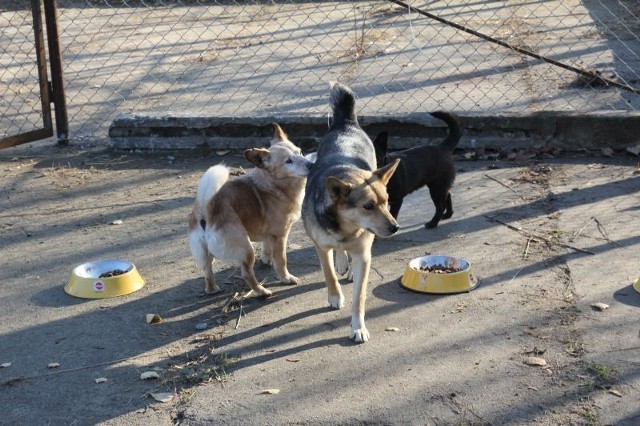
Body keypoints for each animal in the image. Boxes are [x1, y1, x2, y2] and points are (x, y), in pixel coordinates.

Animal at [188, 124, 312, 296]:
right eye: (288, 161)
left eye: (300, 152)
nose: (311, 164)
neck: (273, 184)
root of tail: (207, 208)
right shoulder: (280, 236)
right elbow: (281, 261)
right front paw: (286, 278)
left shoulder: (269, 235)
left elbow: (267, 248)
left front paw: (266, 260)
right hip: (247, 249)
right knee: (246, 273)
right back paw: (262, 292)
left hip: (206, 253)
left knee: (207, 270)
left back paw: (212, 289)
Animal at [302, 82, 400, 342]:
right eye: (368, 206)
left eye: (386, 202)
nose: (395, 227)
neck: (346, 228)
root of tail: (346, 123)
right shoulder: (321, 246)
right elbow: (328, 274)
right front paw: (335, 296)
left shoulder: (364, 254)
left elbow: (360, 298)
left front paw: (358, 327)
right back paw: (341, 263)